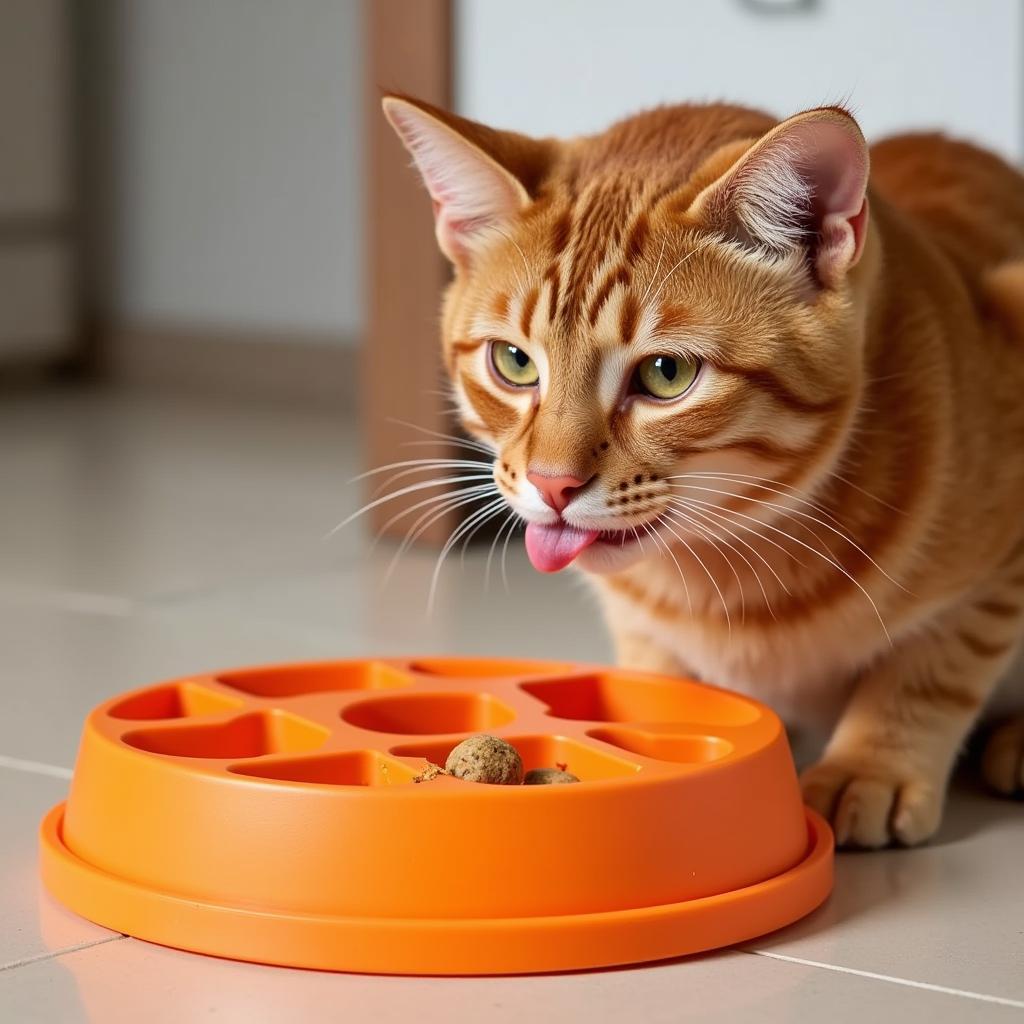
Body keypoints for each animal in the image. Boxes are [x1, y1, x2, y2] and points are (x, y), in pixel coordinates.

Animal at [382, 94, 1024, 847]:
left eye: (667, 374)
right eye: (513, 362)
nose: (551, 484)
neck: (726, 574)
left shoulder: (996, 575)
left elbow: (932, 668)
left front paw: (870, 767)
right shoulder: (639, 624)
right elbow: (663, 677)